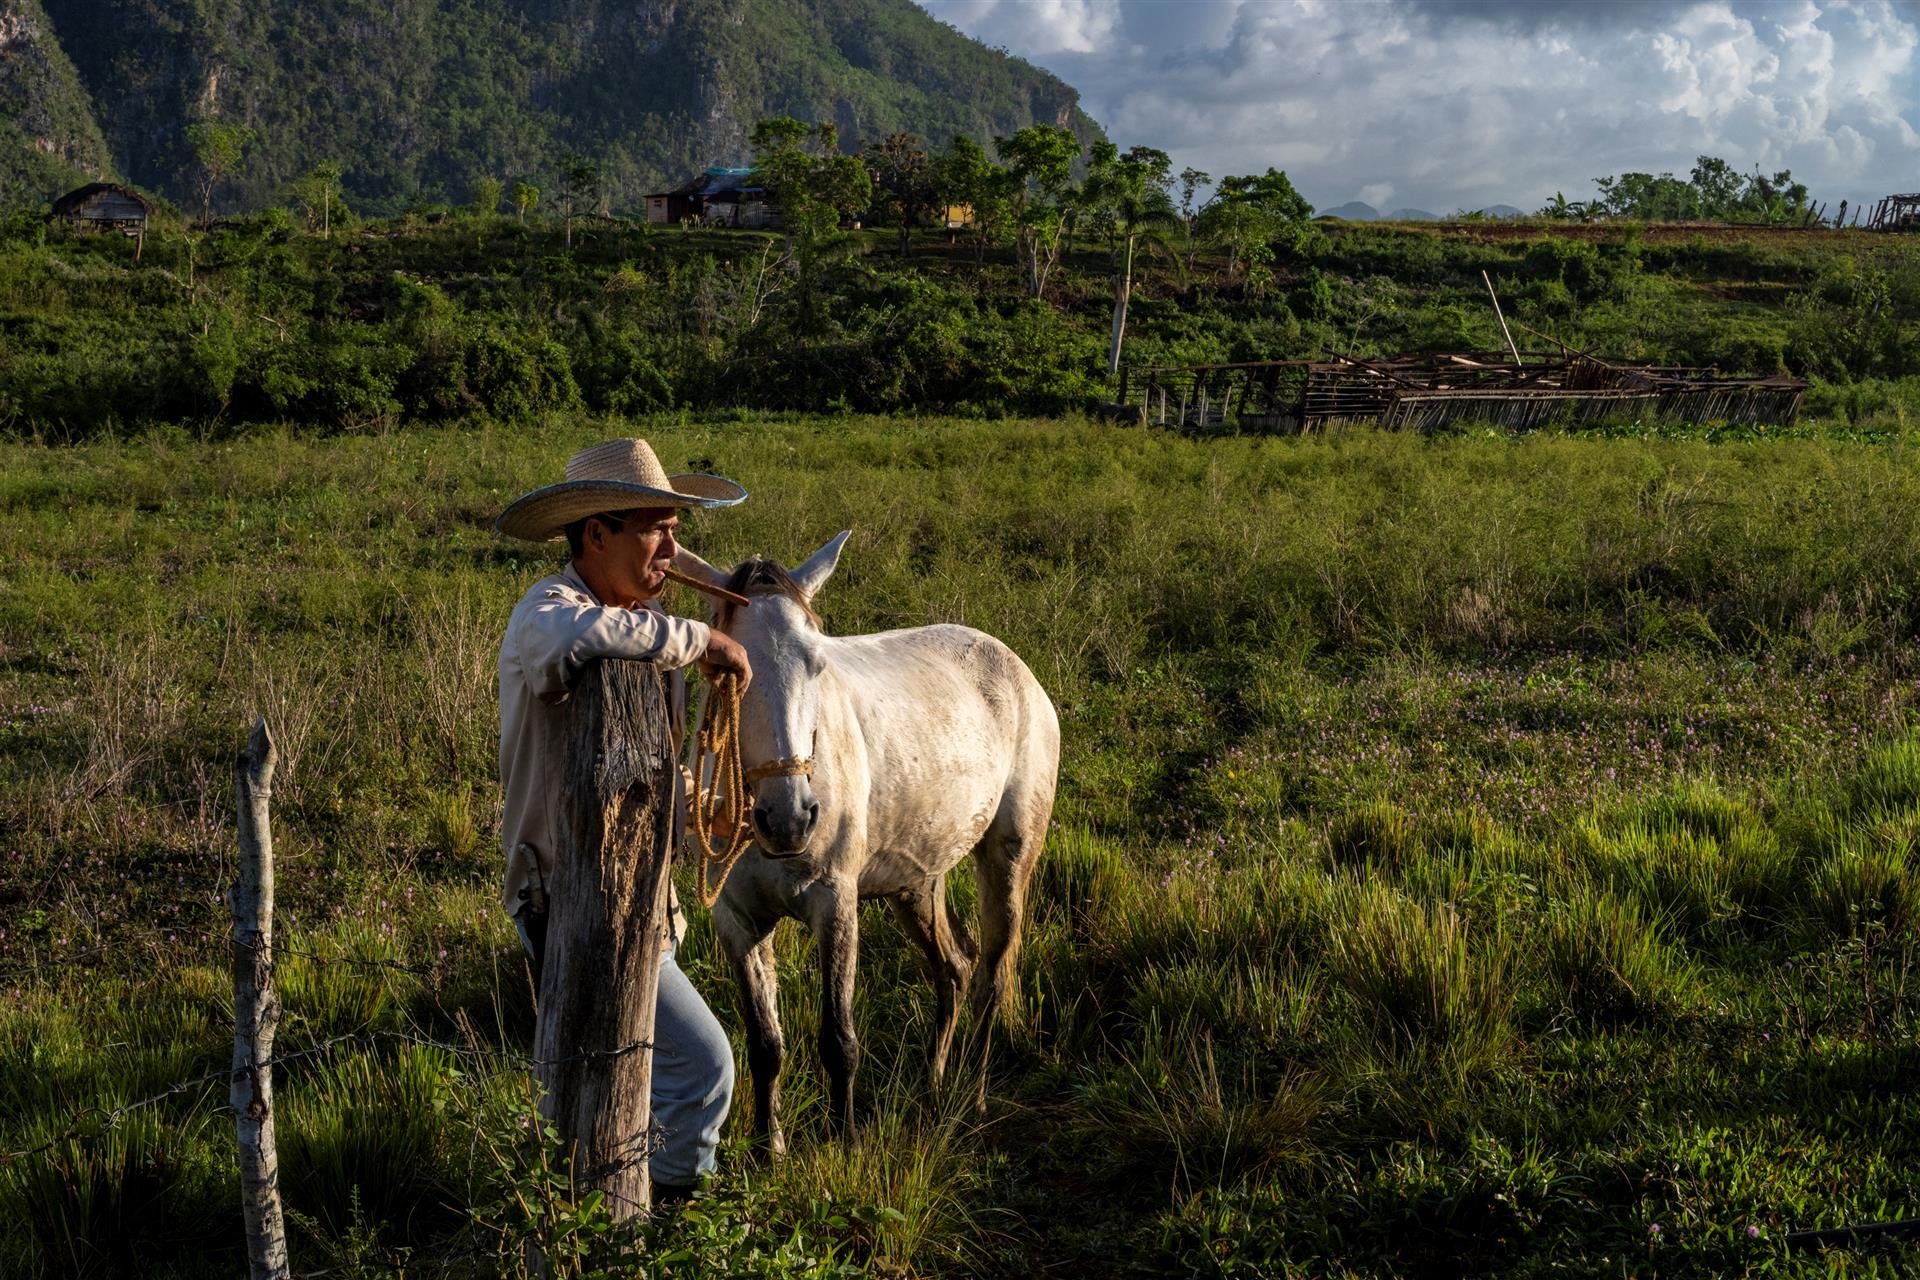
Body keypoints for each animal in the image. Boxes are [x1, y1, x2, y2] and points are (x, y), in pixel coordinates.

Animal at [675, 529, 1067, 1151]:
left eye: (817, 663)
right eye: (724, 669)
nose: (789, 819)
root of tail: (1013, 664)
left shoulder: (836, 904)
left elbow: (839, 1041)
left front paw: (847, 1143)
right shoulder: (737, 920)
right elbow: (764, 1045)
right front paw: (769, 1149)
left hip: (1007, 862)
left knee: (991, 976)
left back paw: (975, 1099)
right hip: (917, 884)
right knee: (953, 970)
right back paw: (932, 1087)